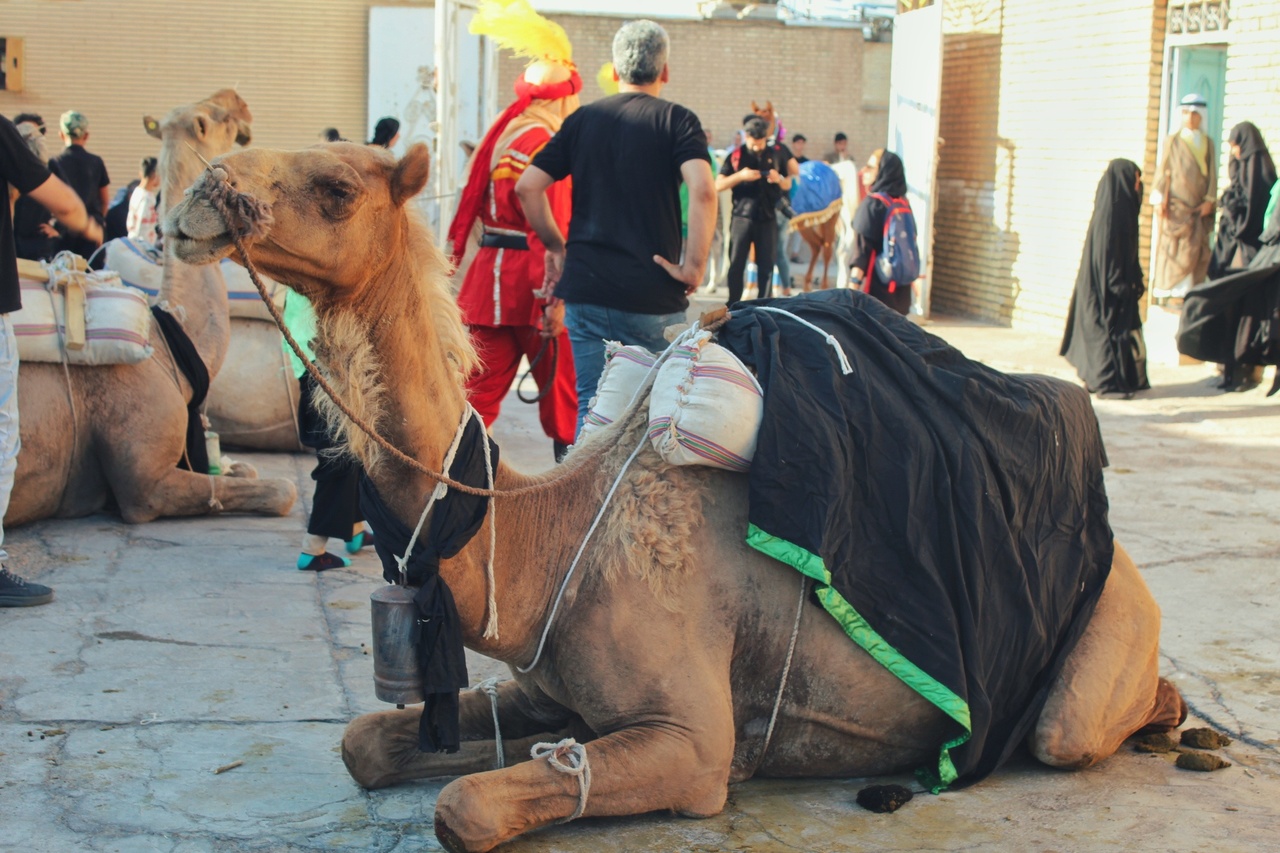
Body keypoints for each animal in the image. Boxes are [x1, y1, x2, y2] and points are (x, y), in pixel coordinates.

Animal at [3, 89, 293, 522]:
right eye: (219, 116)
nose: (241, 103)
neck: (166, 340)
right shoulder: (145, 482)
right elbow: (282, 490)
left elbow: (244, 469)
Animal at [170, 144, 1187, 850]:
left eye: (337, 185)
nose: (199, 194)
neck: (546, 536)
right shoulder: (549, 687)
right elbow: (367, 743)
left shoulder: (693, 743)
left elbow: (465, 805)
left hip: (1095, 648)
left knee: (1067, 728)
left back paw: (1174, 716)